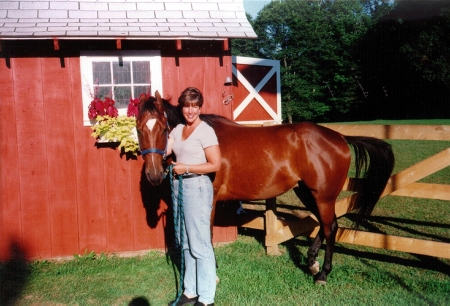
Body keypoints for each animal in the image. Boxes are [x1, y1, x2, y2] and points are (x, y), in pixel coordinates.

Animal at [136, 91, 394, 284]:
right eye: (139, 129)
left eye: (163, 128)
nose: (153, 174)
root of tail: (339, 137)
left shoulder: (210, 200)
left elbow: (206, 235)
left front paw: (212, 273)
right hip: (307, 192)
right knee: (326, 224)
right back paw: (312, 262)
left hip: (324, 196)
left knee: (330, 228)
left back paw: (322, 274)